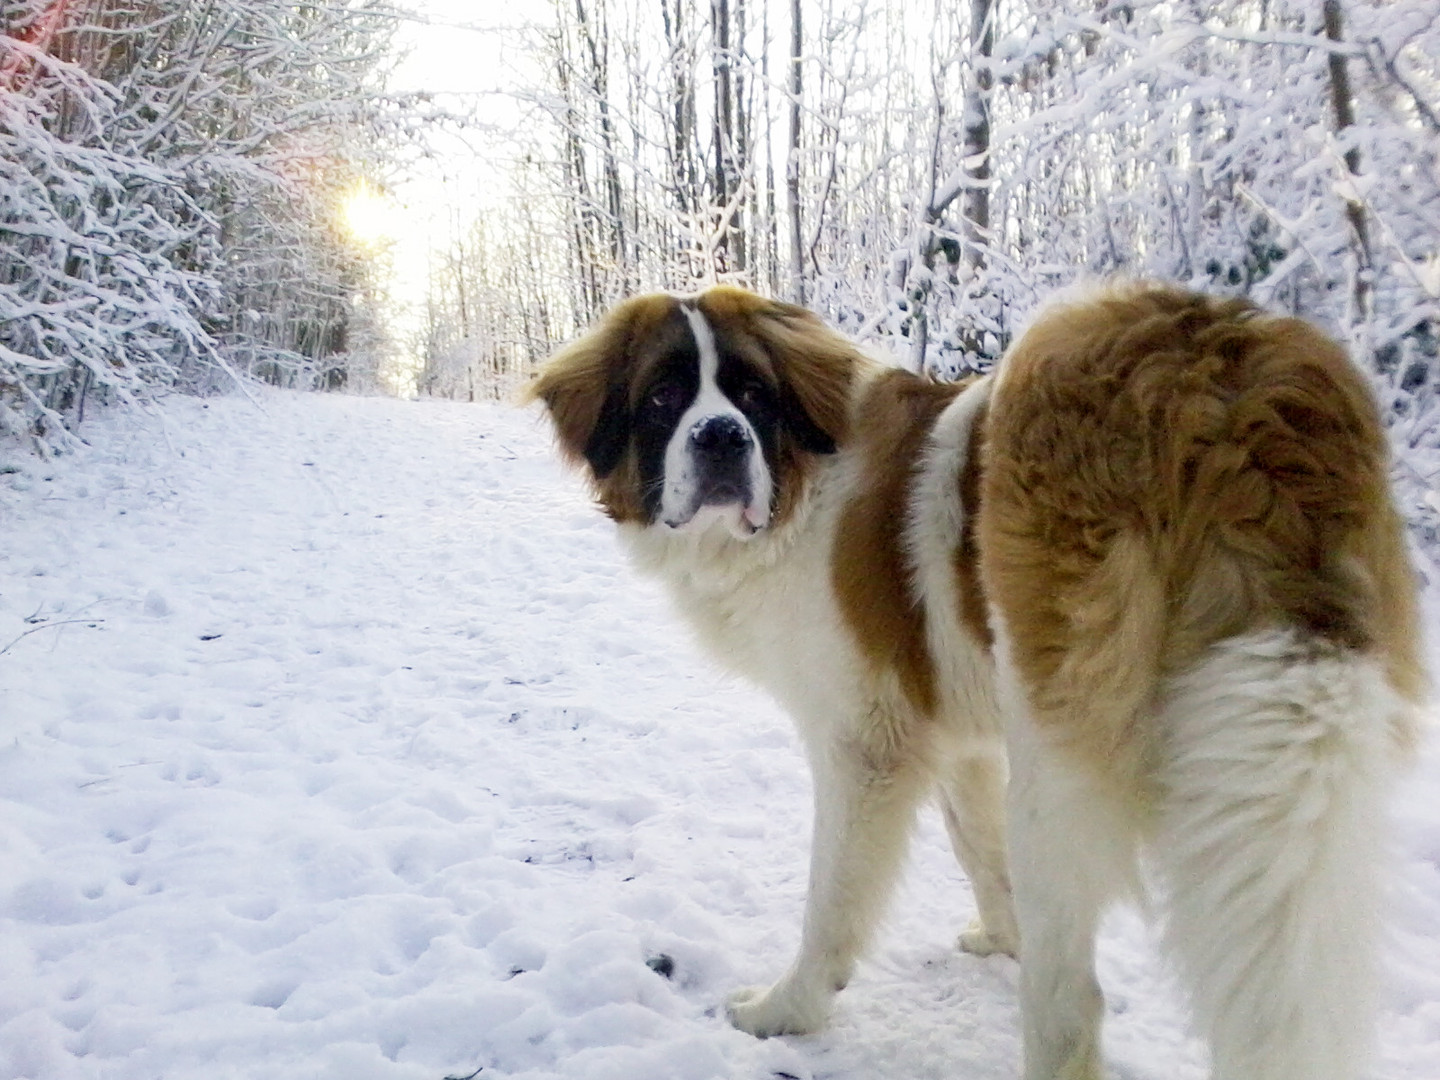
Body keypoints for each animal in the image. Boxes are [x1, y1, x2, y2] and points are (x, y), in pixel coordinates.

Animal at [524, 280, 1422, 1080]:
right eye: (663, 397)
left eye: (750, 393)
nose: (720, 438)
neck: (803, 487)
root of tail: (1223, 376)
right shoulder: (954, 729)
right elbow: (976, 846)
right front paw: (1002, 937)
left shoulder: (865, 740)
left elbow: (832, 896)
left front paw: (789, 1009)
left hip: (1060, 760)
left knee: (1070, 1007)